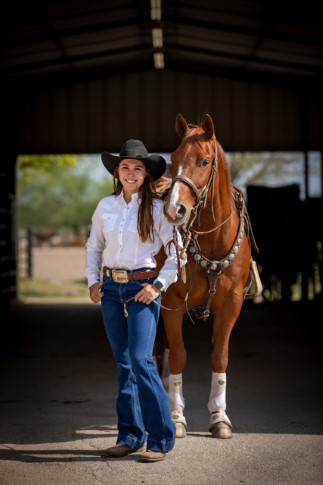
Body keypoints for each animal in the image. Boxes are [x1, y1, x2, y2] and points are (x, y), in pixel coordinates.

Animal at [156, 113, 262, 438]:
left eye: (204, 161)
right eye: (174, 158)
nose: (174, 210)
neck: (213, 243)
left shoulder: (231, 305)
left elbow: (220, 356)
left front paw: (219, 417)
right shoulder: (172, 304)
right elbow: (178, 356)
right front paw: (177, 417)